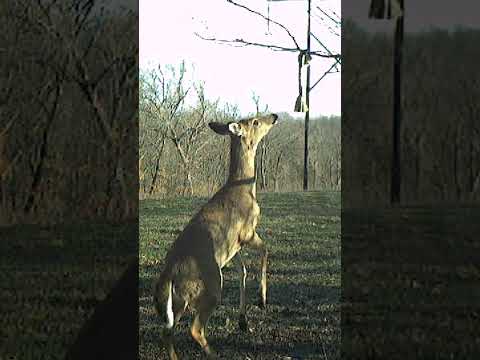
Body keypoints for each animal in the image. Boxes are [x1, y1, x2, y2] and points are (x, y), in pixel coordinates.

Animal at [154, 112, 280, 358]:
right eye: (255, 121)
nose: (274, 116)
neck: (245, 189)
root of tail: (171, 273)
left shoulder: (233, 246)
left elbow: (242, 272)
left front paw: (243, 321)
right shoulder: (247, 232)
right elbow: (265, 251)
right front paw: (262, 300)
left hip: (179, 300)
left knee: (167, 331)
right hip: (211, 286)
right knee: (194, 329)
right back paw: (213, 353)